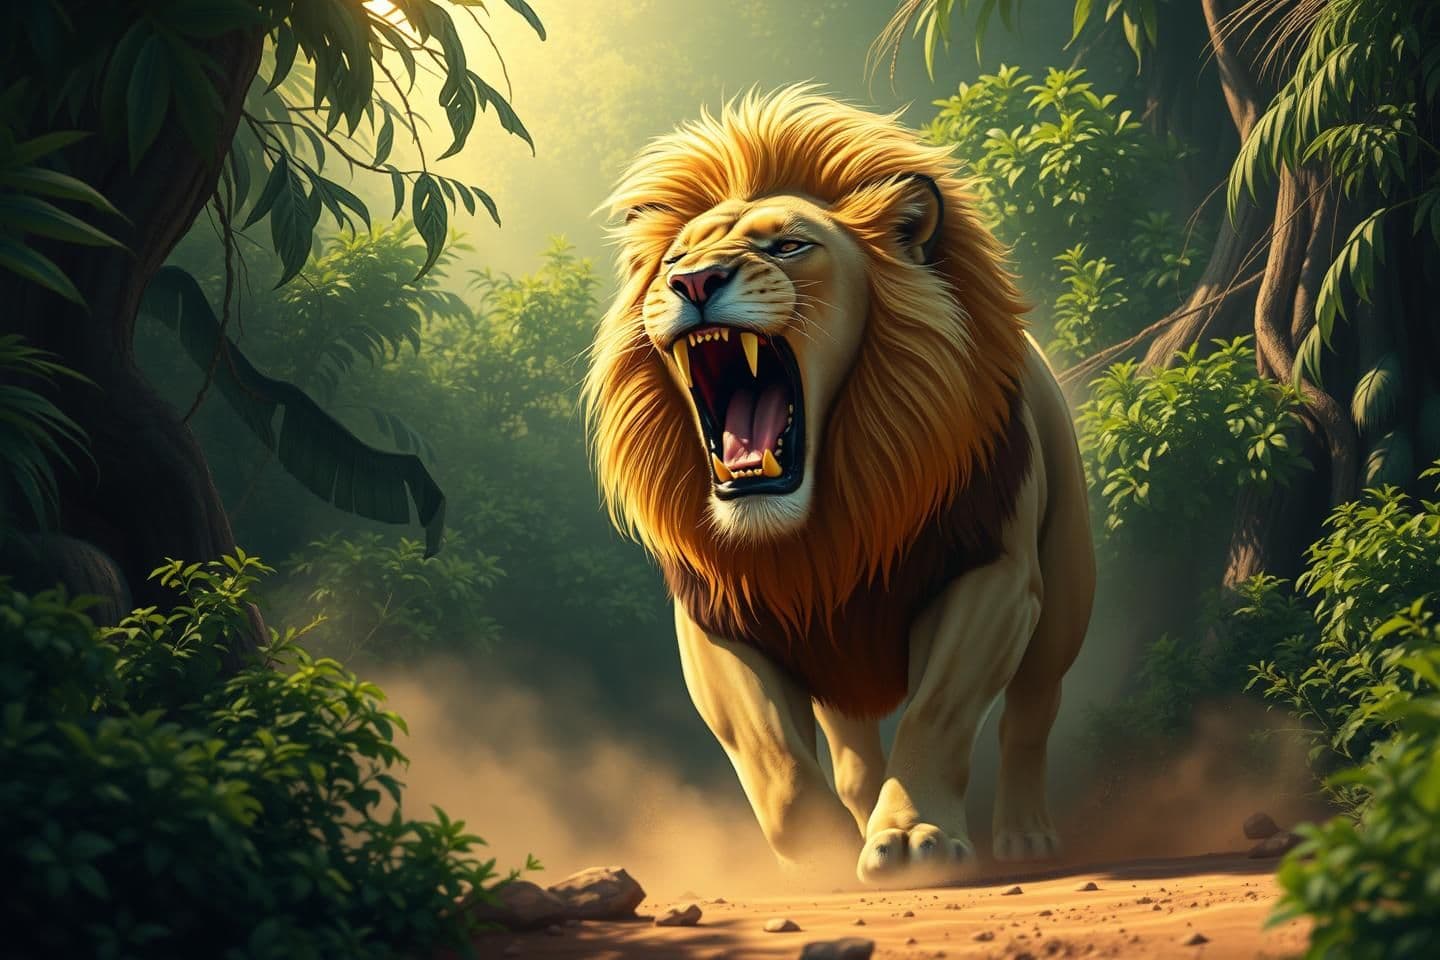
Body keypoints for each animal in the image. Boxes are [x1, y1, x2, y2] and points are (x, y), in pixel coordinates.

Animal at [584, 87, 1095, 886]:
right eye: (674, 258)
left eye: (788, 246)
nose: (693, 283)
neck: (819, 526)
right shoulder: (718, 620)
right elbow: (778, 767)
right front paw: (823, 855)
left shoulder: (992, 576)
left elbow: (936, 713)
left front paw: (913, 837)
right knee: (854, 761)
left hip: (1063, 602)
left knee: (1030, 716)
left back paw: (1025, 835)